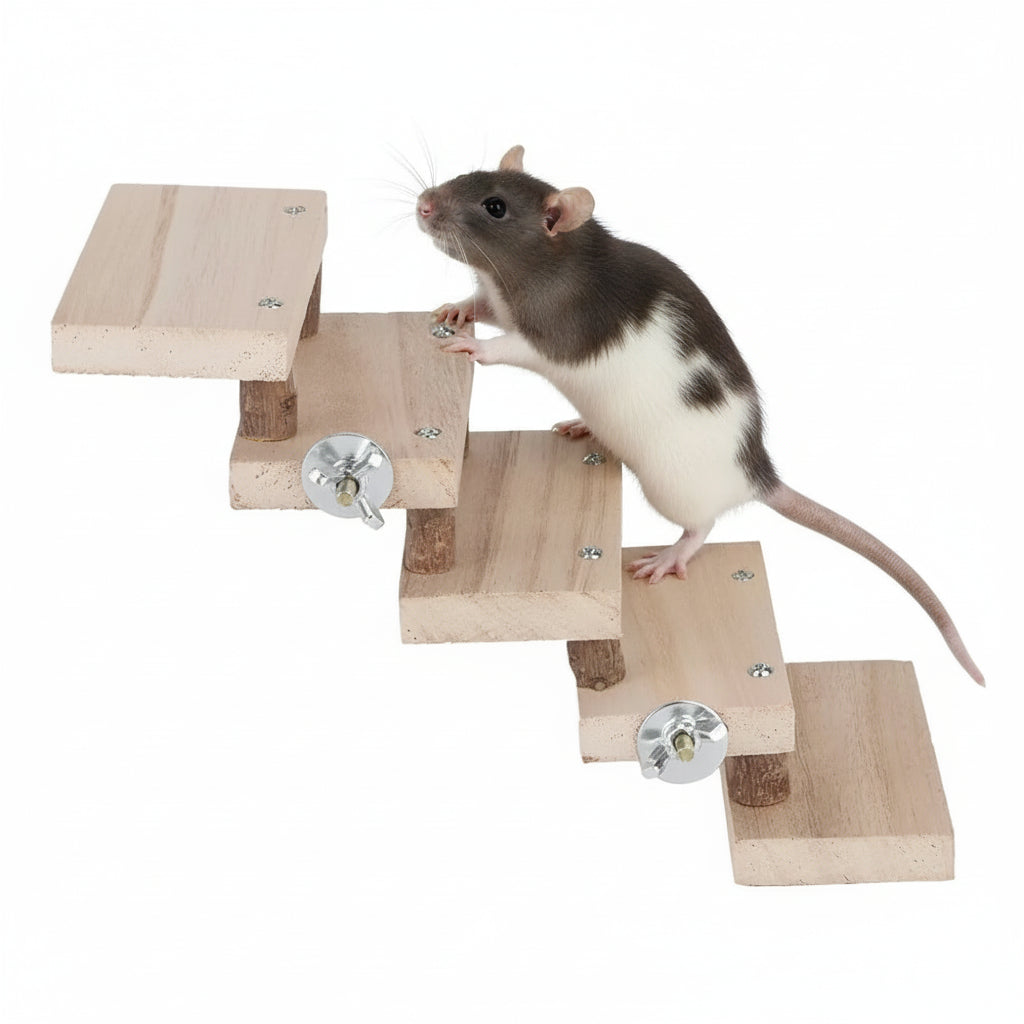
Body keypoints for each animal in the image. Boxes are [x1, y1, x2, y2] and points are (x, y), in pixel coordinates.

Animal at [415, 145, 984, 686]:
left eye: (495, 208)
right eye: (469, 177)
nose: (422, 204)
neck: (546, 260)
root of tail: (755, 474)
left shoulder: (556, 332)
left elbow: (515, 349)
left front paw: (474, 347)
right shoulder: (499, 298)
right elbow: (485, 306)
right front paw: (458, 309)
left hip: (673, 487)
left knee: (702, 525)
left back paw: (673, 553)